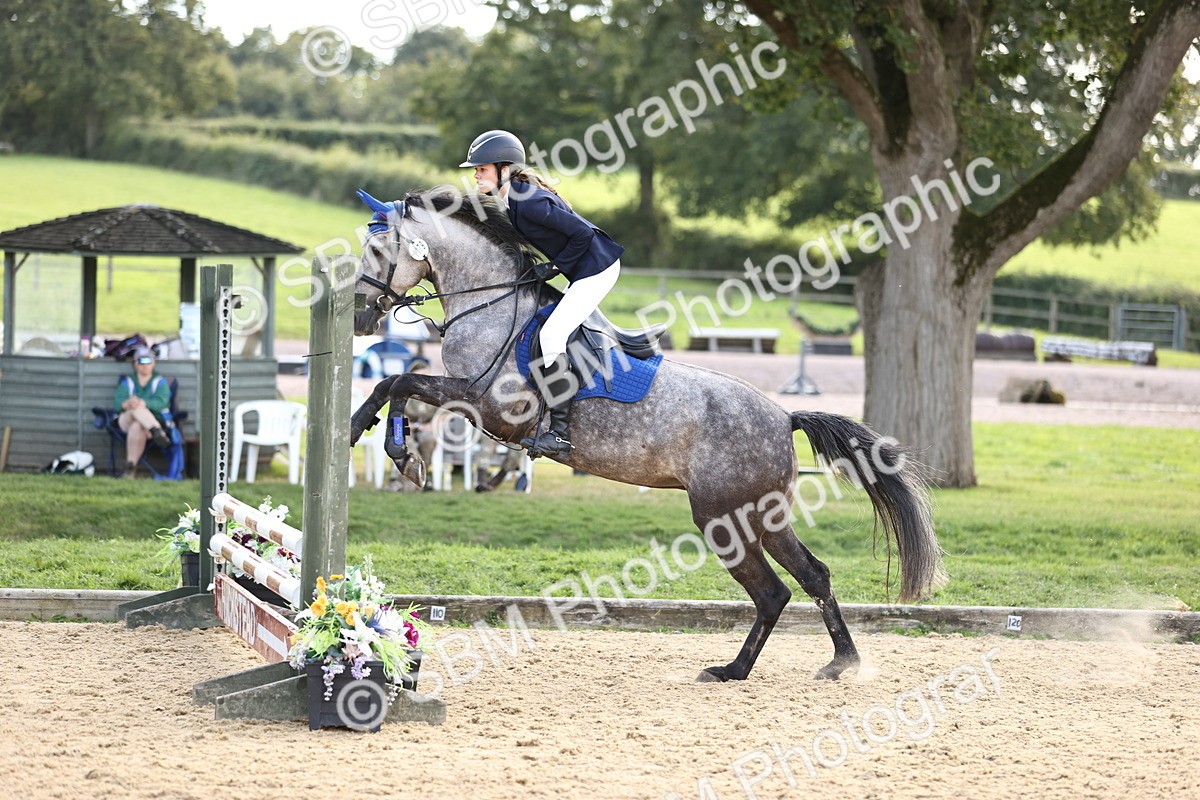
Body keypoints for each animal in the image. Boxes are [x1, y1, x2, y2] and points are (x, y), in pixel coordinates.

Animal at [350, 187, 946, 682]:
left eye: (377, 251)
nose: (359, 318)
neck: (491, 304)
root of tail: (784, 417)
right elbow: (396, 384)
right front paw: (386, 443)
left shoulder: (491, 409)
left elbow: (401, 379)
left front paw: (391, 447)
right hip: (763, 514)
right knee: (810, 577)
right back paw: (832, 663)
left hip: (723, 516)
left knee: (773, 590)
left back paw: (737, 669)